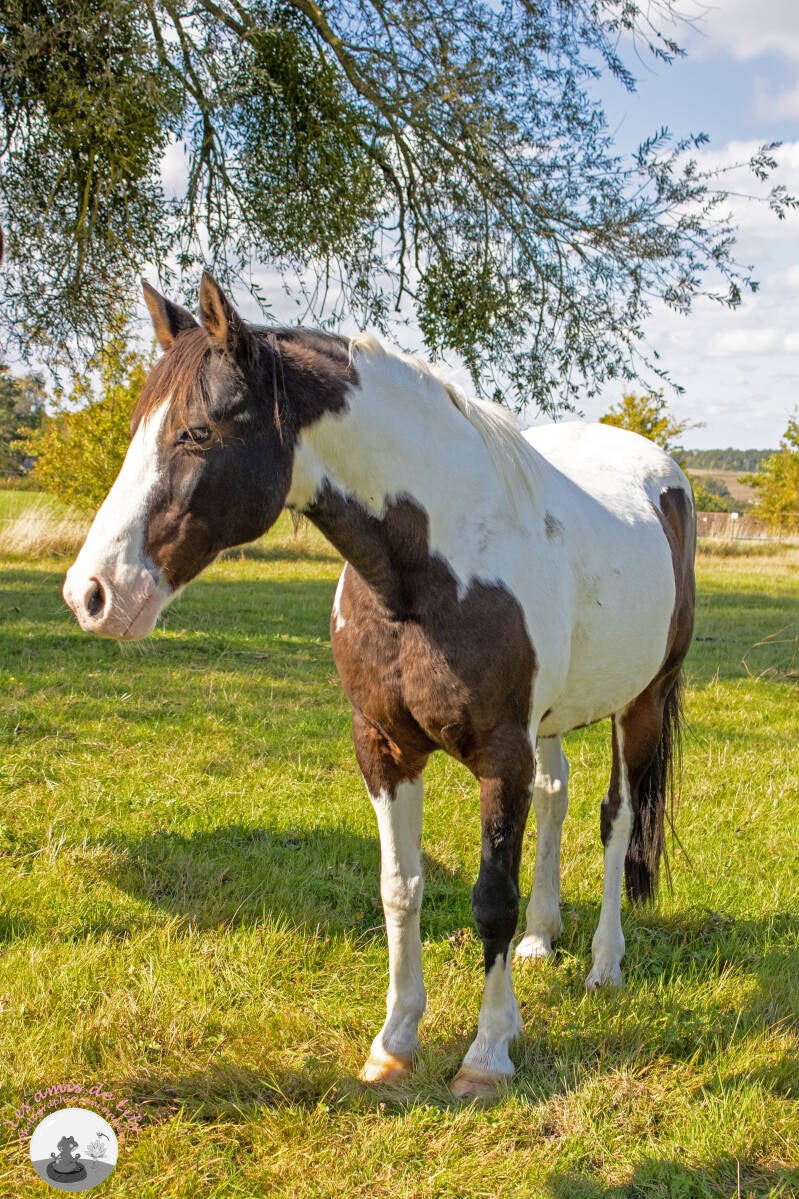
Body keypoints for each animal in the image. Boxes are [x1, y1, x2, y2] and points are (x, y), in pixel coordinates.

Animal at [63, 274, 696, 1101]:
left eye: (197, 432)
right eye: (139, 426)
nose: (93, 594)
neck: (430, 570)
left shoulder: (500, 754)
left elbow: (488, 898)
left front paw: (487, 1053)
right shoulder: (386, 746)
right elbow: (401, 886)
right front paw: (393, 1043)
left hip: (639, 702)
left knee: (615, 819)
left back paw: (603, 963)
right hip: (552, 723)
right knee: (556, 798)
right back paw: (541, 936)